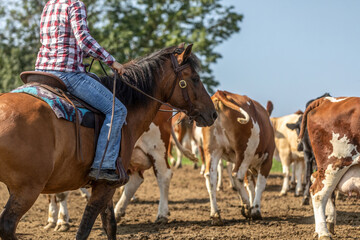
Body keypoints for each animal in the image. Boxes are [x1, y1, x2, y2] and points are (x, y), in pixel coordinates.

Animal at [0, 43, 217, 240]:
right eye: (195, 78)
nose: (213, 113)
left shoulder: (107, 180)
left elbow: (107, 224)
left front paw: (60, 220)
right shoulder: (106, 183)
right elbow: (90, 226)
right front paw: (58, 220)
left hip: (156, 149)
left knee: (161, 175)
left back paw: (160, 214)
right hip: (27, 189)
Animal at [201, 91, 274, 224]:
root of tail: (222, 93)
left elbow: (250, 185)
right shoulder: (267, 160)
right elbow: (259, 185)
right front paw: (256, 210)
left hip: (212, 150)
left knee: (211, 177)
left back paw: (216, 215)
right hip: (244, 153)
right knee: (236, 175)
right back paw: (246, 206)